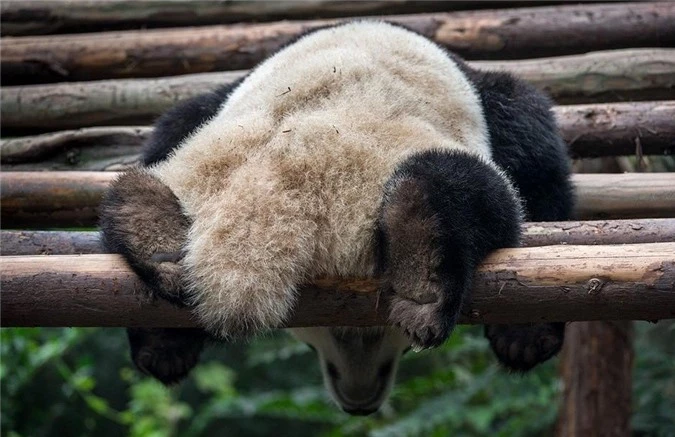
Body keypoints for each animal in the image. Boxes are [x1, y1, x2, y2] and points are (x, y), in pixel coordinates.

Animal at [100, 21, 576, 416]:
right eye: (315, 342)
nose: (359, 401)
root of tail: (286, 174)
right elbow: (540, 164)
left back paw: (150, 236)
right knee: (475, 190)